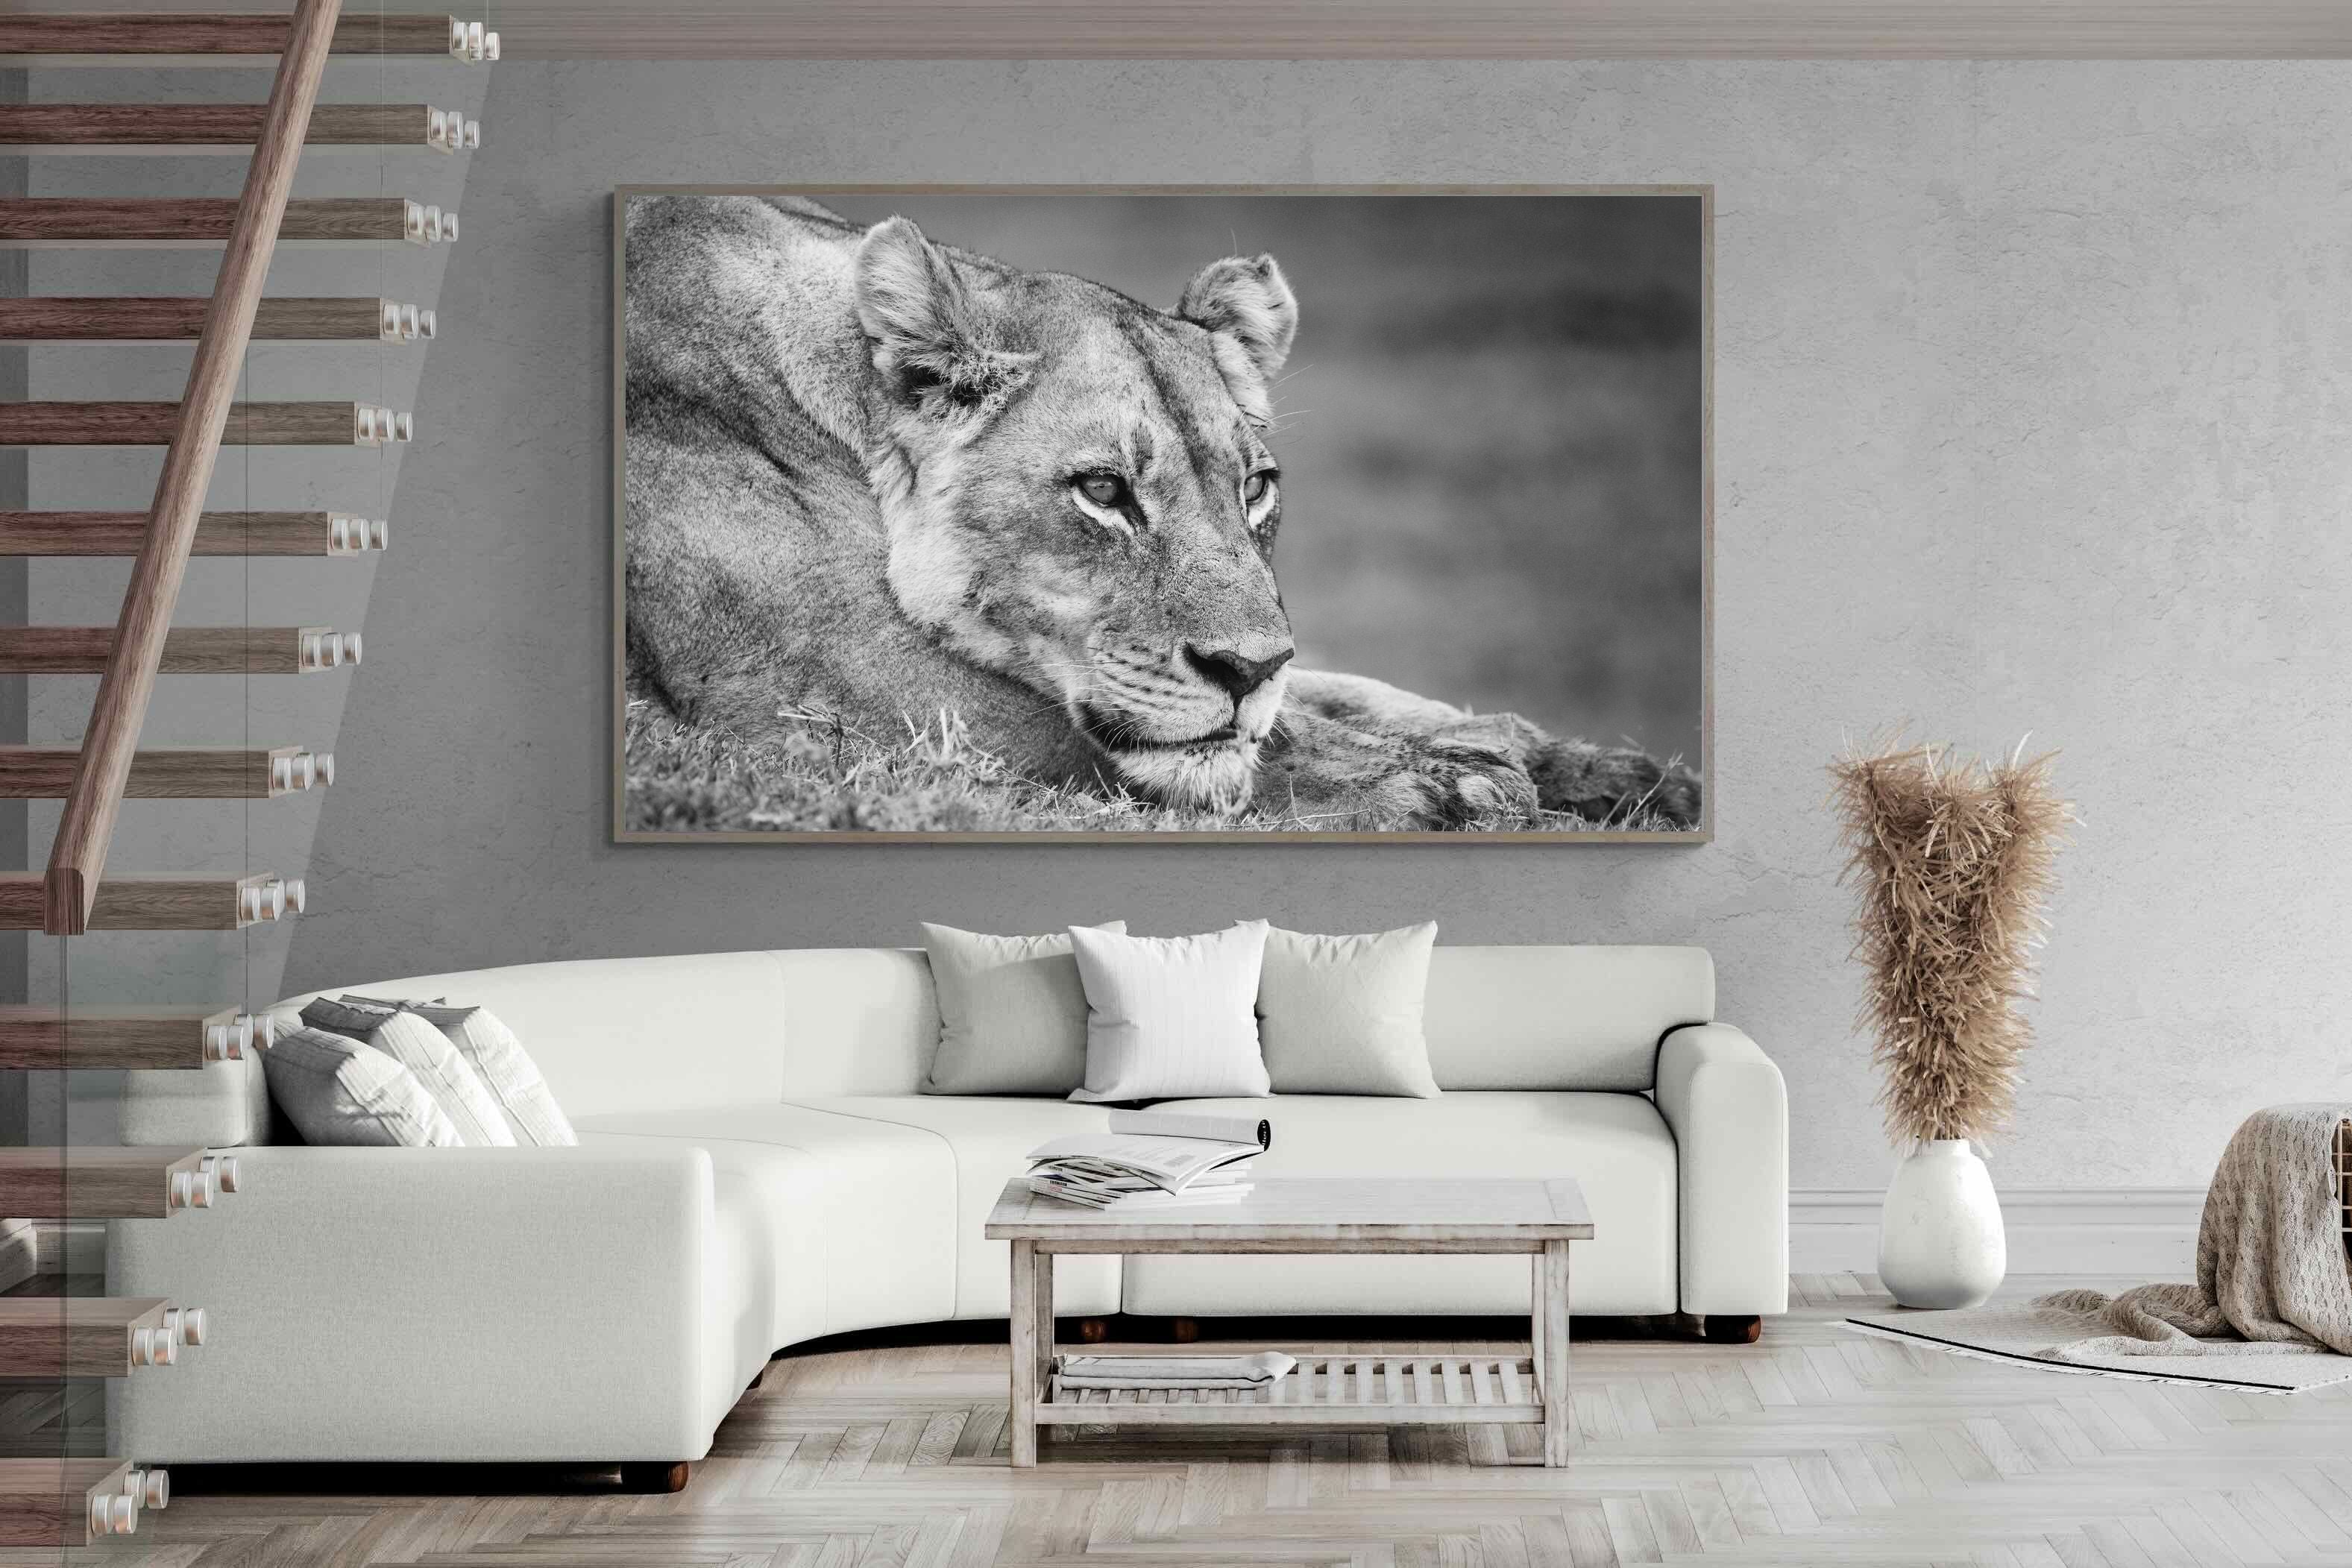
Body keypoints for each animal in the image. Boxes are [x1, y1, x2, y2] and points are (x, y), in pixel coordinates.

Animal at [623, 195, 1698, 831]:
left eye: (1254, 486)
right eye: (1103, 491)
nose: (1245, 670)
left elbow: (1340, 699)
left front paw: (1606, 768)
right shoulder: (830, 695)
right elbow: (1216, 756)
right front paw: (1448, 786)